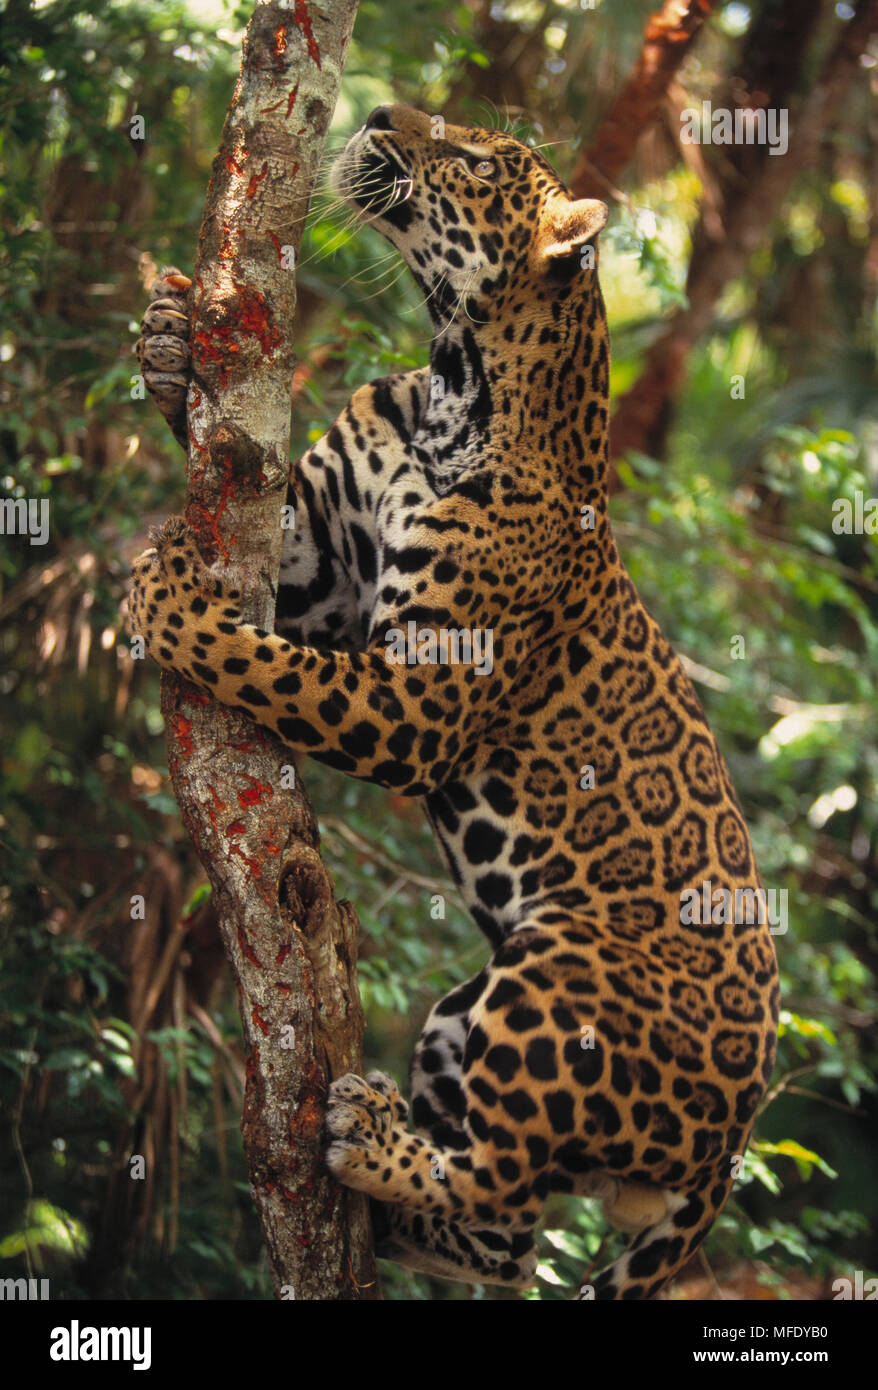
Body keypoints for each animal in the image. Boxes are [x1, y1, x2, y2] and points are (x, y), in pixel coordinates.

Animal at [129, 104, 780, 1299]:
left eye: (477, 159)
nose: (386, 114)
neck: (452, 379)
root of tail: (732, 1145)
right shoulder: (322, 573)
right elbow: (267, 548)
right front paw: (167, 341)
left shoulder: (412, 696)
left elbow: (264, 665)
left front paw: (167, 592)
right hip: (457, 1015)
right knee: (508, 1229)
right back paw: (387, 1192)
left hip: (555, 973)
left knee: (501, 1186)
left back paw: (370, 1139)